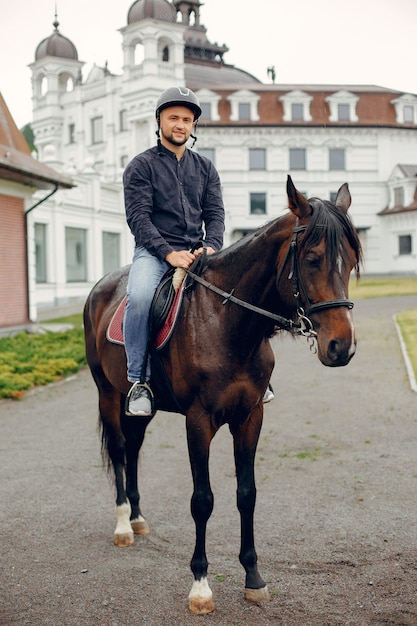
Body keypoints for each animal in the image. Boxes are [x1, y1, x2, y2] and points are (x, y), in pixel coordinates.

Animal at [83, 177, 360, 616]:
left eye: (350, 261)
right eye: (313, 259)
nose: (341, 347)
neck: (227, 323)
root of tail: (99, 288)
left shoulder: (249, 417)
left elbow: (246, 494)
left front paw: (254, 579)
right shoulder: (200, 421)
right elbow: (203, 499)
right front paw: (200, 586)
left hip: (139, 406)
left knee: (134, 449)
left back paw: (139, 518)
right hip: (107, 394)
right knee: (119, 451)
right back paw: (124, 523)